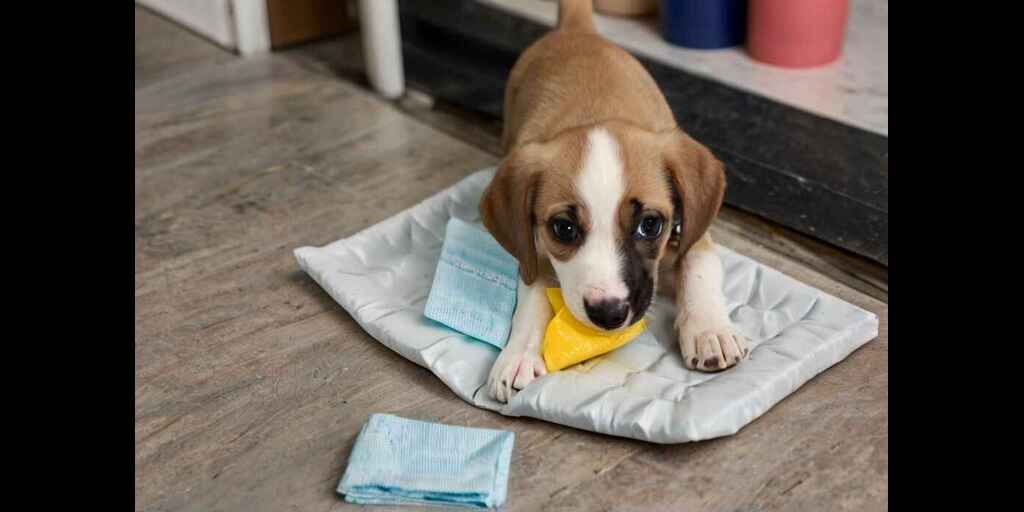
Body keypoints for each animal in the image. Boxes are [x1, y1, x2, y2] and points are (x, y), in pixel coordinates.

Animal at [479, 0, 745, 403]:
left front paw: (707, 329)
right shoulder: (533, 248)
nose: (608, 313)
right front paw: (518, 353)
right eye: (563, 228)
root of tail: (576, 30)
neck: (598, 112)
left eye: (650, 224)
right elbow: (532, 293)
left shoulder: (694, 230)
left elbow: (699, 266)